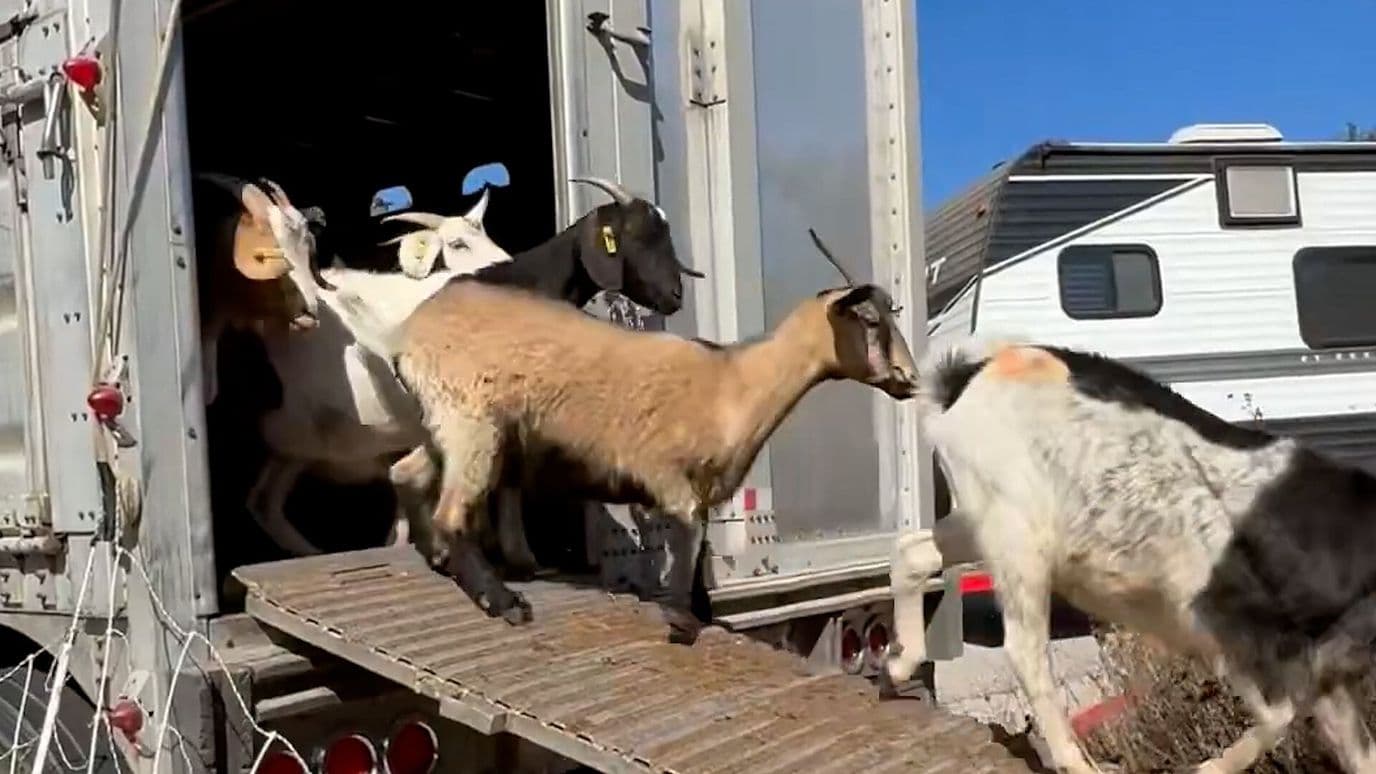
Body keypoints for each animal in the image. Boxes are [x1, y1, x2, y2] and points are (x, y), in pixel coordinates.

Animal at [390, 230, 918, 641]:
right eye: (870, 320)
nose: (908, 378)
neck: (733, 382)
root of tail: (410, 334)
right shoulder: (666, 476)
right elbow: (688, 535)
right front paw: (680, 619)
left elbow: (698, 548)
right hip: (471, 423)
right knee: (450, 512)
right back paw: (504, 603)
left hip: (449, 424)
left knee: (406, 473)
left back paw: (439, 557)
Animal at [887, 338, 1376, 774]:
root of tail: (963, 379)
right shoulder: (1225, 624)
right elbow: (1280, 715)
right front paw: (1203, 769)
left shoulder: (1321, 674)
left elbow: (1360, 751)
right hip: (1018, 535)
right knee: (1025, 649)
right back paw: (1080, 766)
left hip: (985, 519)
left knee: (912, 552)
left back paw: (897, 666)